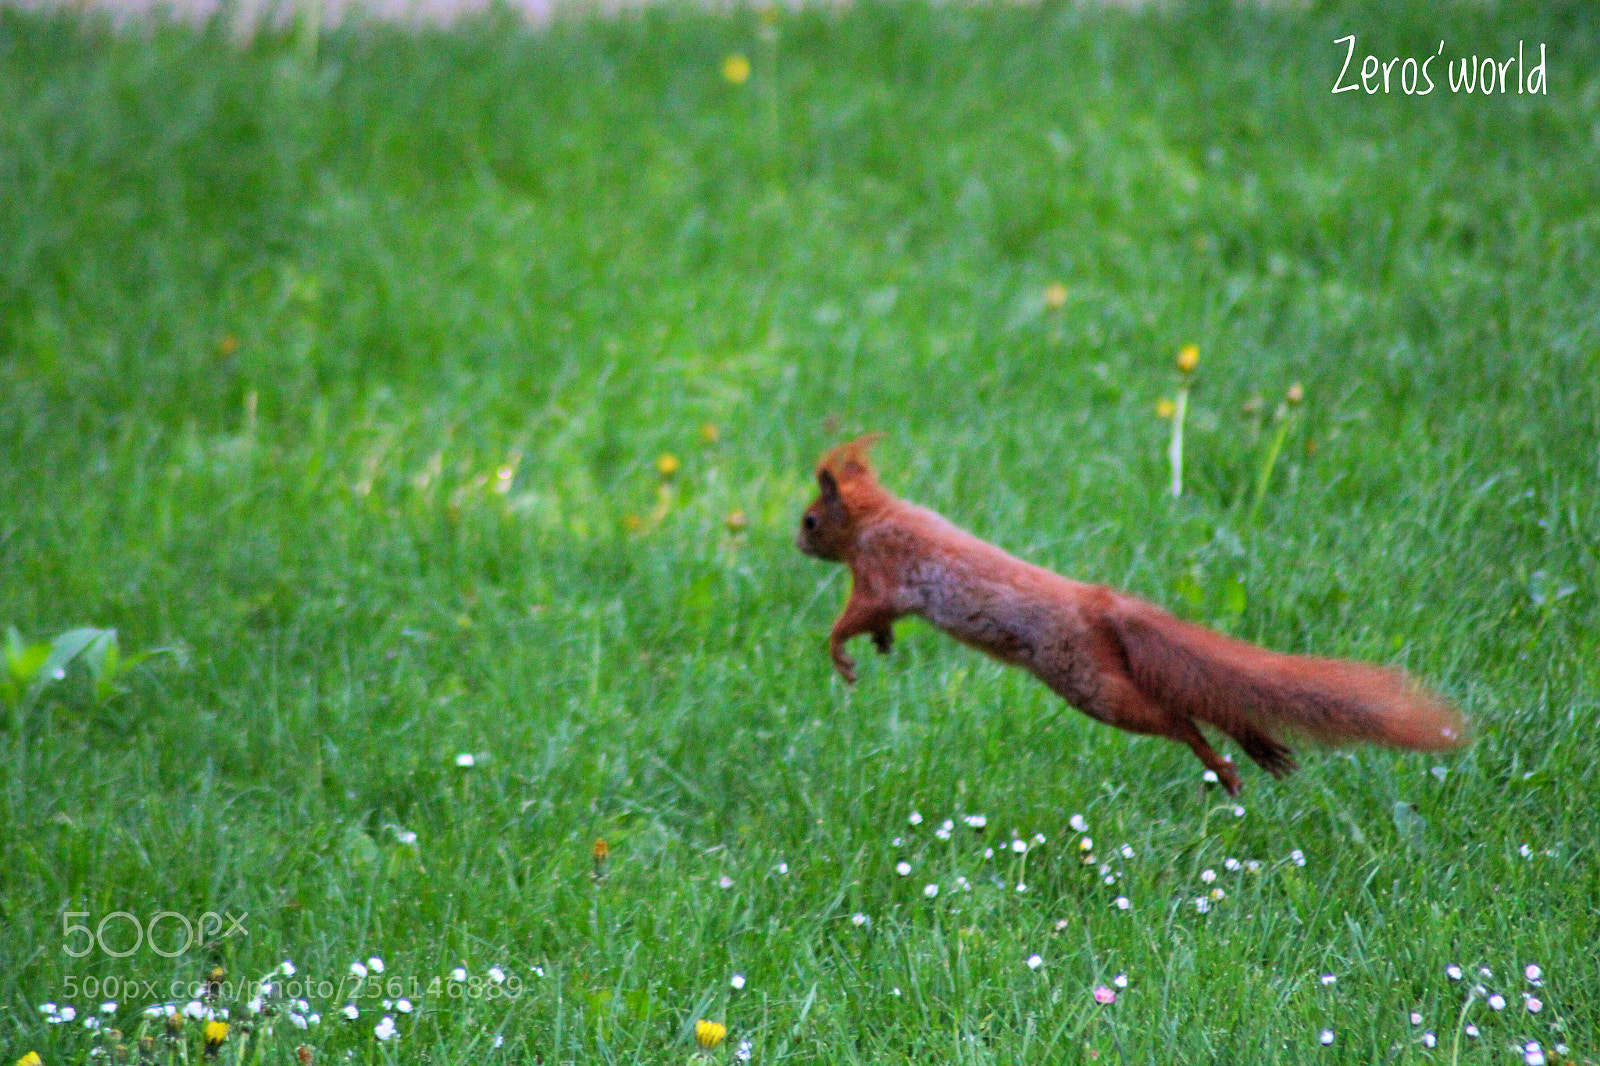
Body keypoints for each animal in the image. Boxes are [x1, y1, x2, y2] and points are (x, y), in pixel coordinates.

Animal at [796, 435, 1467, 794]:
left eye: (810, 518)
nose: (796, 543)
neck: (879, 517)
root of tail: (1100, 605)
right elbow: (876, 622)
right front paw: (882, 645)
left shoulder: (881, 572)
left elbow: (850, 619)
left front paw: (844, 656)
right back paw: (1256, 747)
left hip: (1088, 683)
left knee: (1176, 715)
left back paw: (1225, 766)